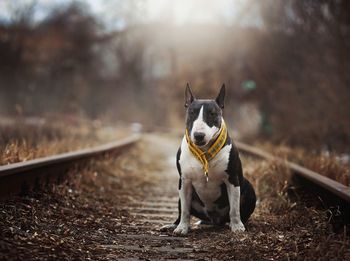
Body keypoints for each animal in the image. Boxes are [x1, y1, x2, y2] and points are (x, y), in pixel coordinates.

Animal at [163, 83, 256, 234]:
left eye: (212, 114)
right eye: (192, 113)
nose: (199, 135)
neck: (204, 152)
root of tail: (214, 219)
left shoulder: (232, 179)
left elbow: (234, 209)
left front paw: (237, 226)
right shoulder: (184, 181)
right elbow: (185, 210)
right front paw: (182, 228)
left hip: (248, 187)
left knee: (239, 212)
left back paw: (230, 223)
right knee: (182, 209)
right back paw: (173, 225)